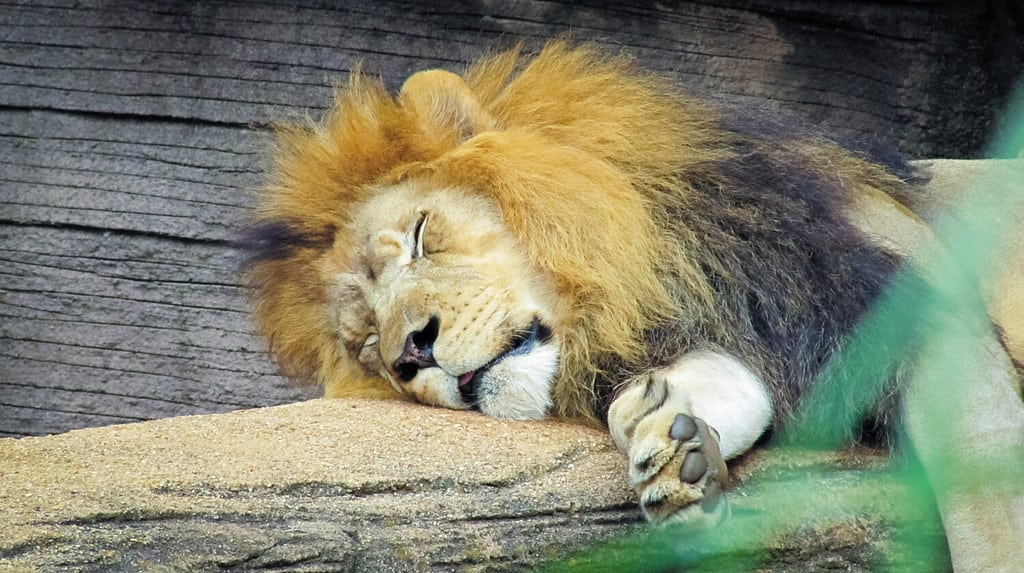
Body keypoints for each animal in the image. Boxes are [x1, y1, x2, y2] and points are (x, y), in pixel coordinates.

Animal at [245, 41, 1024, 568]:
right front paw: (674, 447)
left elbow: (984, 488)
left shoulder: (916, 309)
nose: (413, 352)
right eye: (366, 344)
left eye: (419, 234)